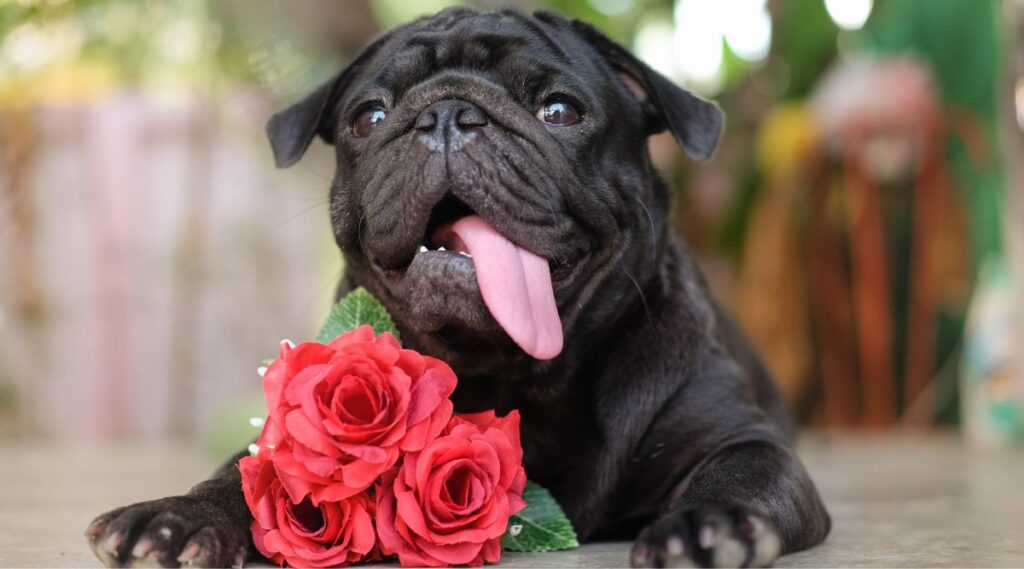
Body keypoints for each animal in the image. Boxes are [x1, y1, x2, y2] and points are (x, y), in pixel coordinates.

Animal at [83, 7, 827, 564]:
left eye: (560, 110)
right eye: (370, 116)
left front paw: (707, 524)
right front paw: (180, 516)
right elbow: (244, 473)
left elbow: (741, 474)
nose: (446, 115)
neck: (515, 377)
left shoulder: (743, 441)